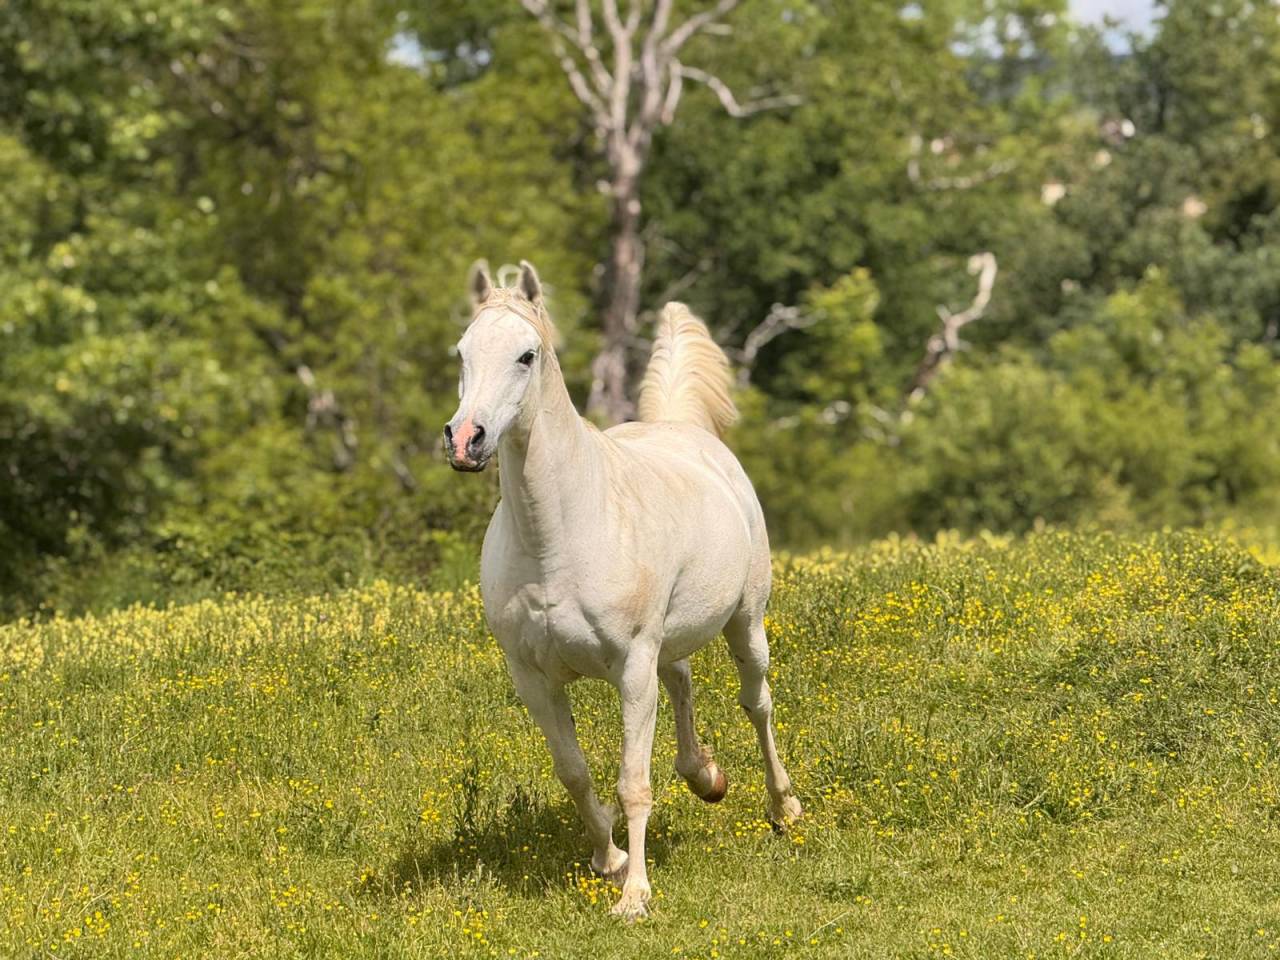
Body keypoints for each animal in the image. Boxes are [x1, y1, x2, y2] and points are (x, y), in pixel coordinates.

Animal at [444, 260, 802, 919]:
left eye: (527, 355)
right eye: (462, 351)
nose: (465, 440)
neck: (558, 536)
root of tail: (683, 428)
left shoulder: (632, 665)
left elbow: (632, 781)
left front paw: (634, 895)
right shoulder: (532, 678)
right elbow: (574, 772)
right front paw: (607, 860)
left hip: (746, 622)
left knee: (757, 703)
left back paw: (783, 807)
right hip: (673, 637)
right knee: (682, 680)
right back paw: (705, 777)